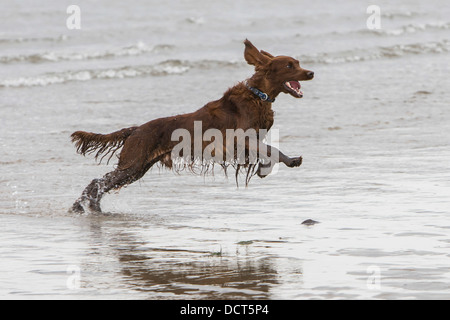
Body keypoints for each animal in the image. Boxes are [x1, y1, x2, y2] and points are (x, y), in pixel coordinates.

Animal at [70, 40, 312, 215]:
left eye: (298, 63)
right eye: (289, 65)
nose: (311, 73)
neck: (257, 96)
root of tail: (136, 129)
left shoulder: (249, 142)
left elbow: (266, 152)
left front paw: (264, 169)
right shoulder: (237, 139)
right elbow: (273, 149)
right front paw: (291, 161)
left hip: (138, 168)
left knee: (100, 183)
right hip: (132, 164)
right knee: (97, 182)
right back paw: (84, 206)